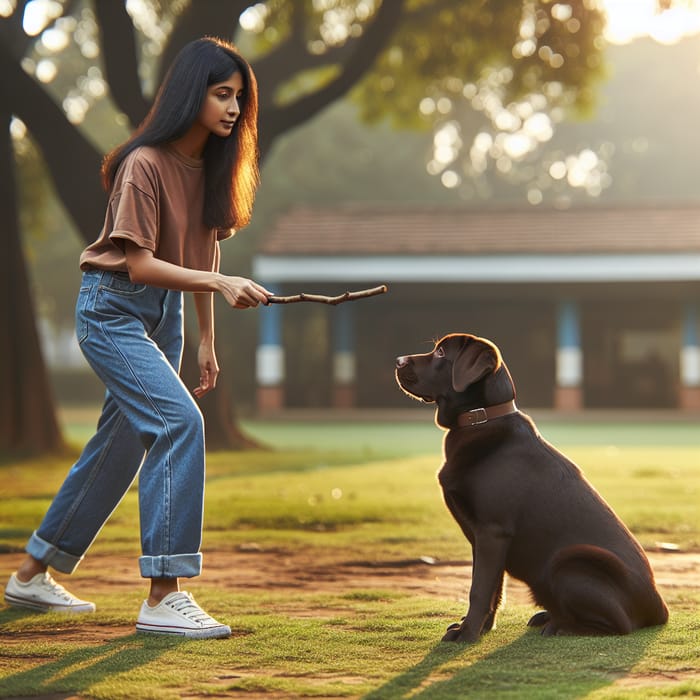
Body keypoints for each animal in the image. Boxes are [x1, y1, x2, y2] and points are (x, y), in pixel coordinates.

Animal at [394, 330, 668, 644]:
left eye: (441, 353)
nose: (397, 360)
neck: (481, 418)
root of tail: (660, 609)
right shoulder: (482, 538)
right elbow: (493, 589)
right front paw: (482, 628)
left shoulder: (492, 531)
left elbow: (479, 589)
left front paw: (468, 633)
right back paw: (548, 616)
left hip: (570, 561)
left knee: (620, 626)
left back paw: (562, 626)